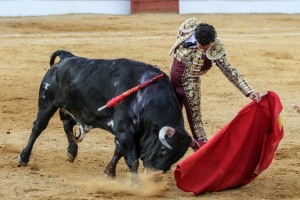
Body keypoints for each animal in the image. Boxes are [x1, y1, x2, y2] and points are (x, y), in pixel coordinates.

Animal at [18, 50, 192, 178]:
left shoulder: (124, 132)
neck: (147, 97)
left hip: (72, 108)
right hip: (47, 103)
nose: (153, 177)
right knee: (38, 128)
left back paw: (72, 152)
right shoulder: (124, 129)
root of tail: (67, 57)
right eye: (163, 150)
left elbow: (119, 151)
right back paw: (23, 158)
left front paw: (109, 172)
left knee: (68, 124)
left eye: (176, 157)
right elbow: (132, 159)